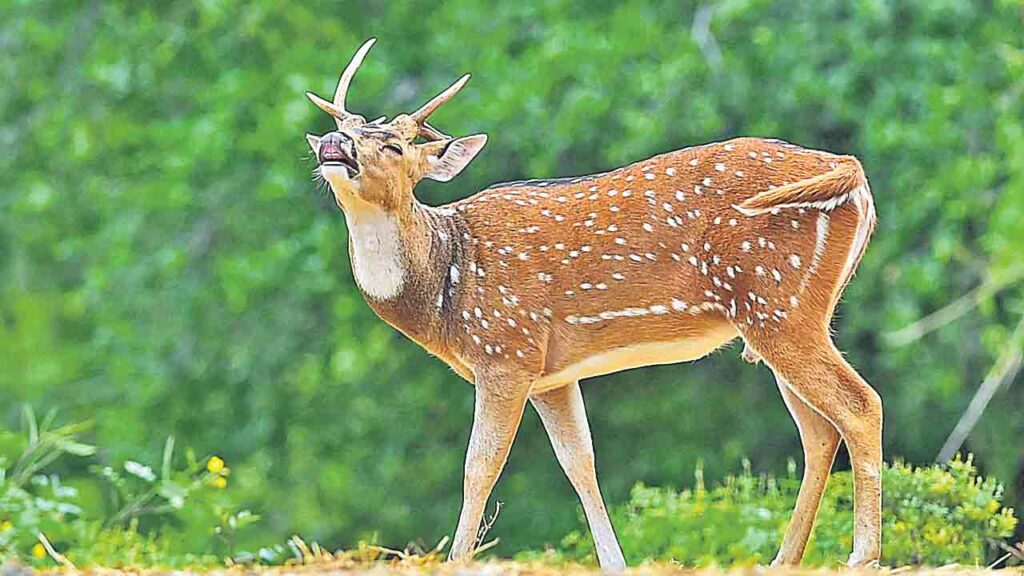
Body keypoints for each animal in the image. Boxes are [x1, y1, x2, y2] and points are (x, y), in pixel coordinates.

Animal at [304, 39, 881, 570]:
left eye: (396, 147)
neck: (449, 282)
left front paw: (459, 560)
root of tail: (851, 169)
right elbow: (580, 462)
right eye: (350, 131)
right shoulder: (551, 374)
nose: (334, 140)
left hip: (777, 298)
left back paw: (862, 555)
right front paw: (614, 561)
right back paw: (785, 559)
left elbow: (479, 465)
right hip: (786, 314)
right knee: (818, 432)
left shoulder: (505, 349)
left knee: (859, 405)